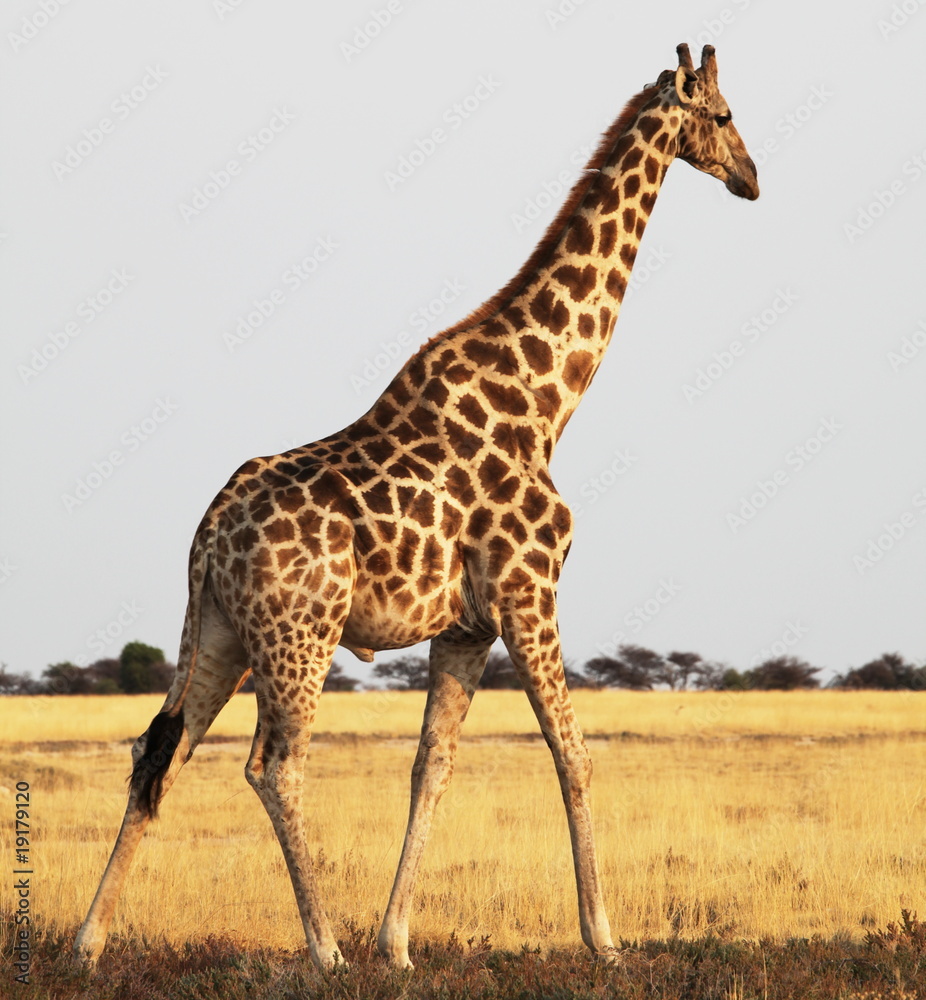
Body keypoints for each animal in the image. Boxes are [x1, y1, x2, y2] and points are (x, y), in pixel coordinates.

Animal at [75, 43, 758, 972]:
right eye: (724, 115)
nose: (751, 178)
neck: (545, 399)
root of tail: (207, 536)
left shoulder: (465, 625)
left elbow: (431, 766)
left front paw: (397, 943)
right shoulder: (529, 594)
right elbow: (572, 755)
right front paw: (604, 937)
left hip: (217, 631)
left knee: (161, 752)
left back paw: (88, 941)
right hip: (298, 635)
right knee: (273, 765)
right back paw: (323, 950)